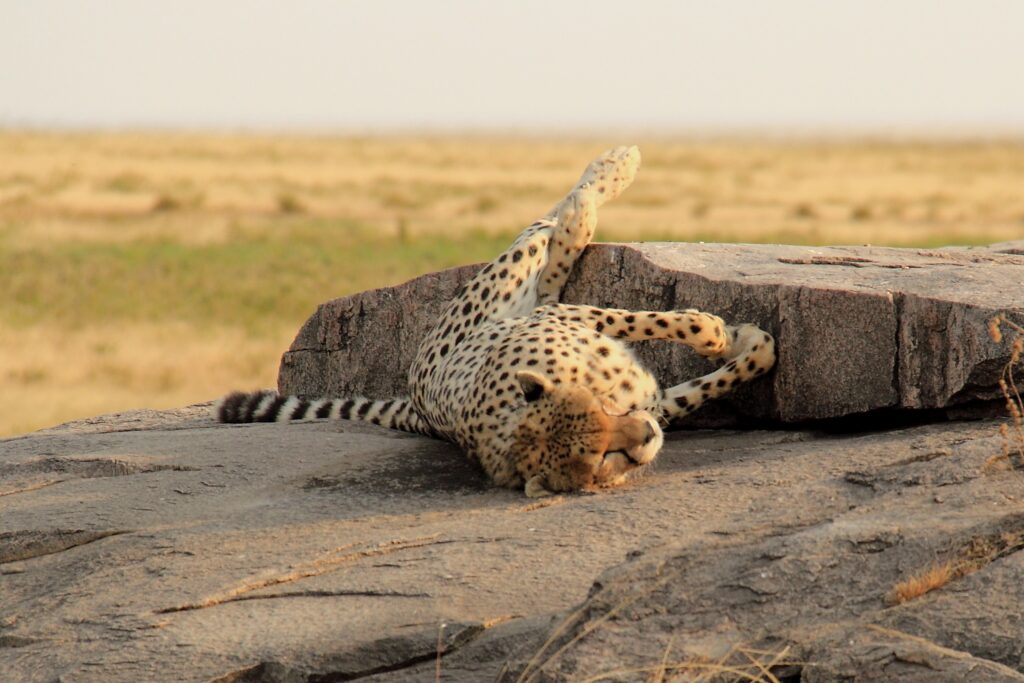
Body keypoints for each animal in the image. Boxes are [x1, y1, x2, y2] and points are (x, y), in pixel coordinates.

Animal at [218, 145, 774, 497]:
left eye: (601, 413)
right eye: (600, 460)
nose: (643, 439)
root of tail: (416, 400)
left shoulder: (572, 324)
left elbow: (664, 327)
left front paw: (725, 335)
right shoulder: (653, 403)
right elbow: (706, 383)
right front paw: (748, 343)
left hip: (506, 288)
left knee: (549, 232)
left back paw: (608, 173)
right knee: (549, 254)